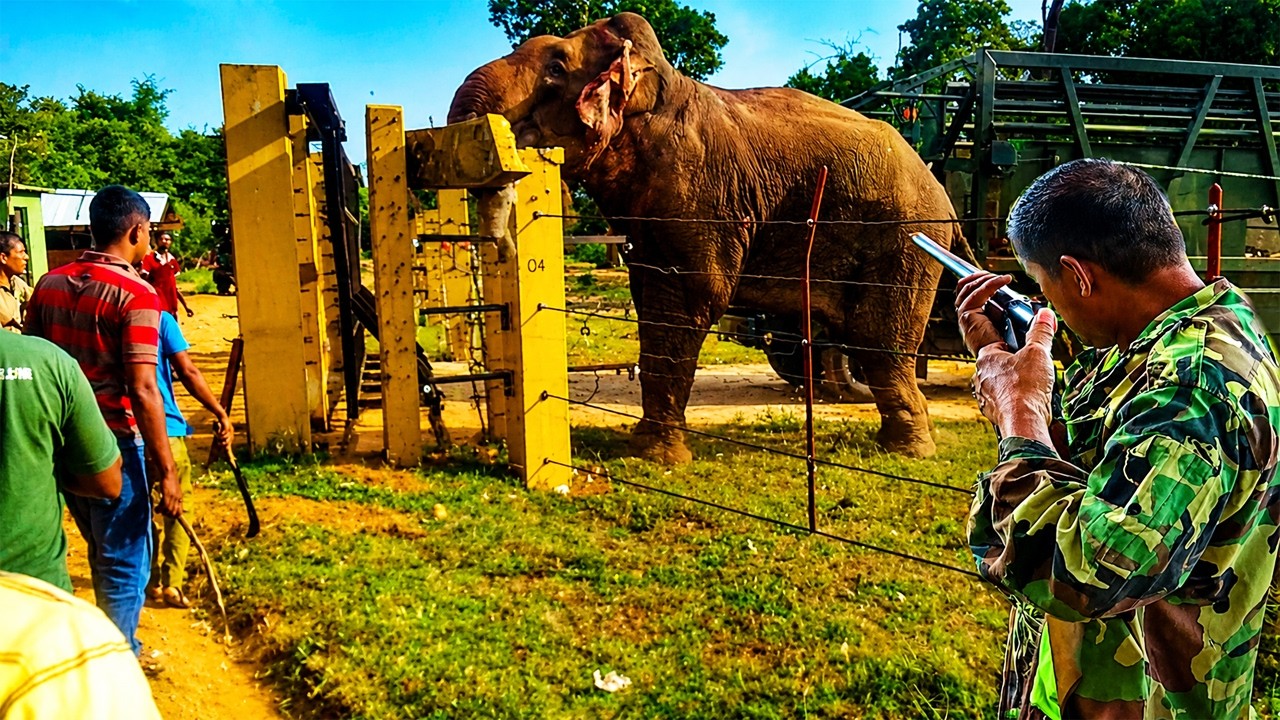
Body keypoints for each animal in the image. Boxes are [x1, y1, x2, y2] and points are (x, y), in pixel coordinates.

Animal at [449, 12, 967, 462]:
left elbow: (690, 296)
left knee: (876, 336)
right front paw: (647, 447)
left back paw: (909, 451)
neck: (661, 84)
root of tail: (941, 193)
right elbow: (650, 294)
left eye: (556, 68)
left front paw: (659, 458)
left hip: (904, 238)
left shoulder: (700, 193)